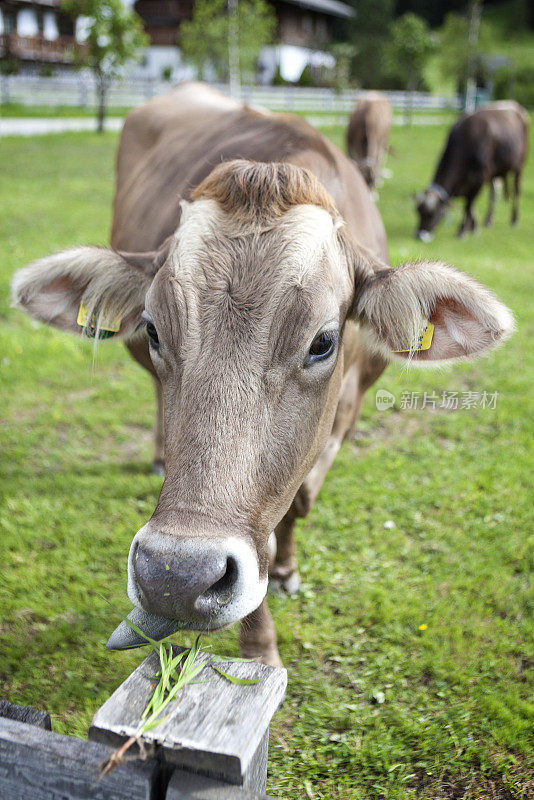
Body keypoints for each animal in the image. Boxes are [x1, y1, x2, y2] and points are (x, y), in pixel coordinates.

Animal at [11, 84, 516, 664]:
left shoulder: (352, 408)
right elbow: (266, 537)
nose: (175, 577)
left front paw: (288, 569)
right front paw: (259, 647)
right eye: (153, 329)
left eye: (323, 342)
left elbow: (301, 499)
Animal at [416, 99, 528, 241]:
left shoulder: (479, 178)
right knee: (494, 193)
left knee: (517, 191)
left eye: (430, 213)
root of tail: (515, 106)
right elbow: (471, 204)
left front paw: (463, 230)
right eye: (418, 211)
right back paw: (488, 220)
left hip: (519, 166)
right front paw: (474, 226)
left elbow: (468, 205)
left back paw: (514, 219)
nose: (419, 235)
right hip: (495, 172)